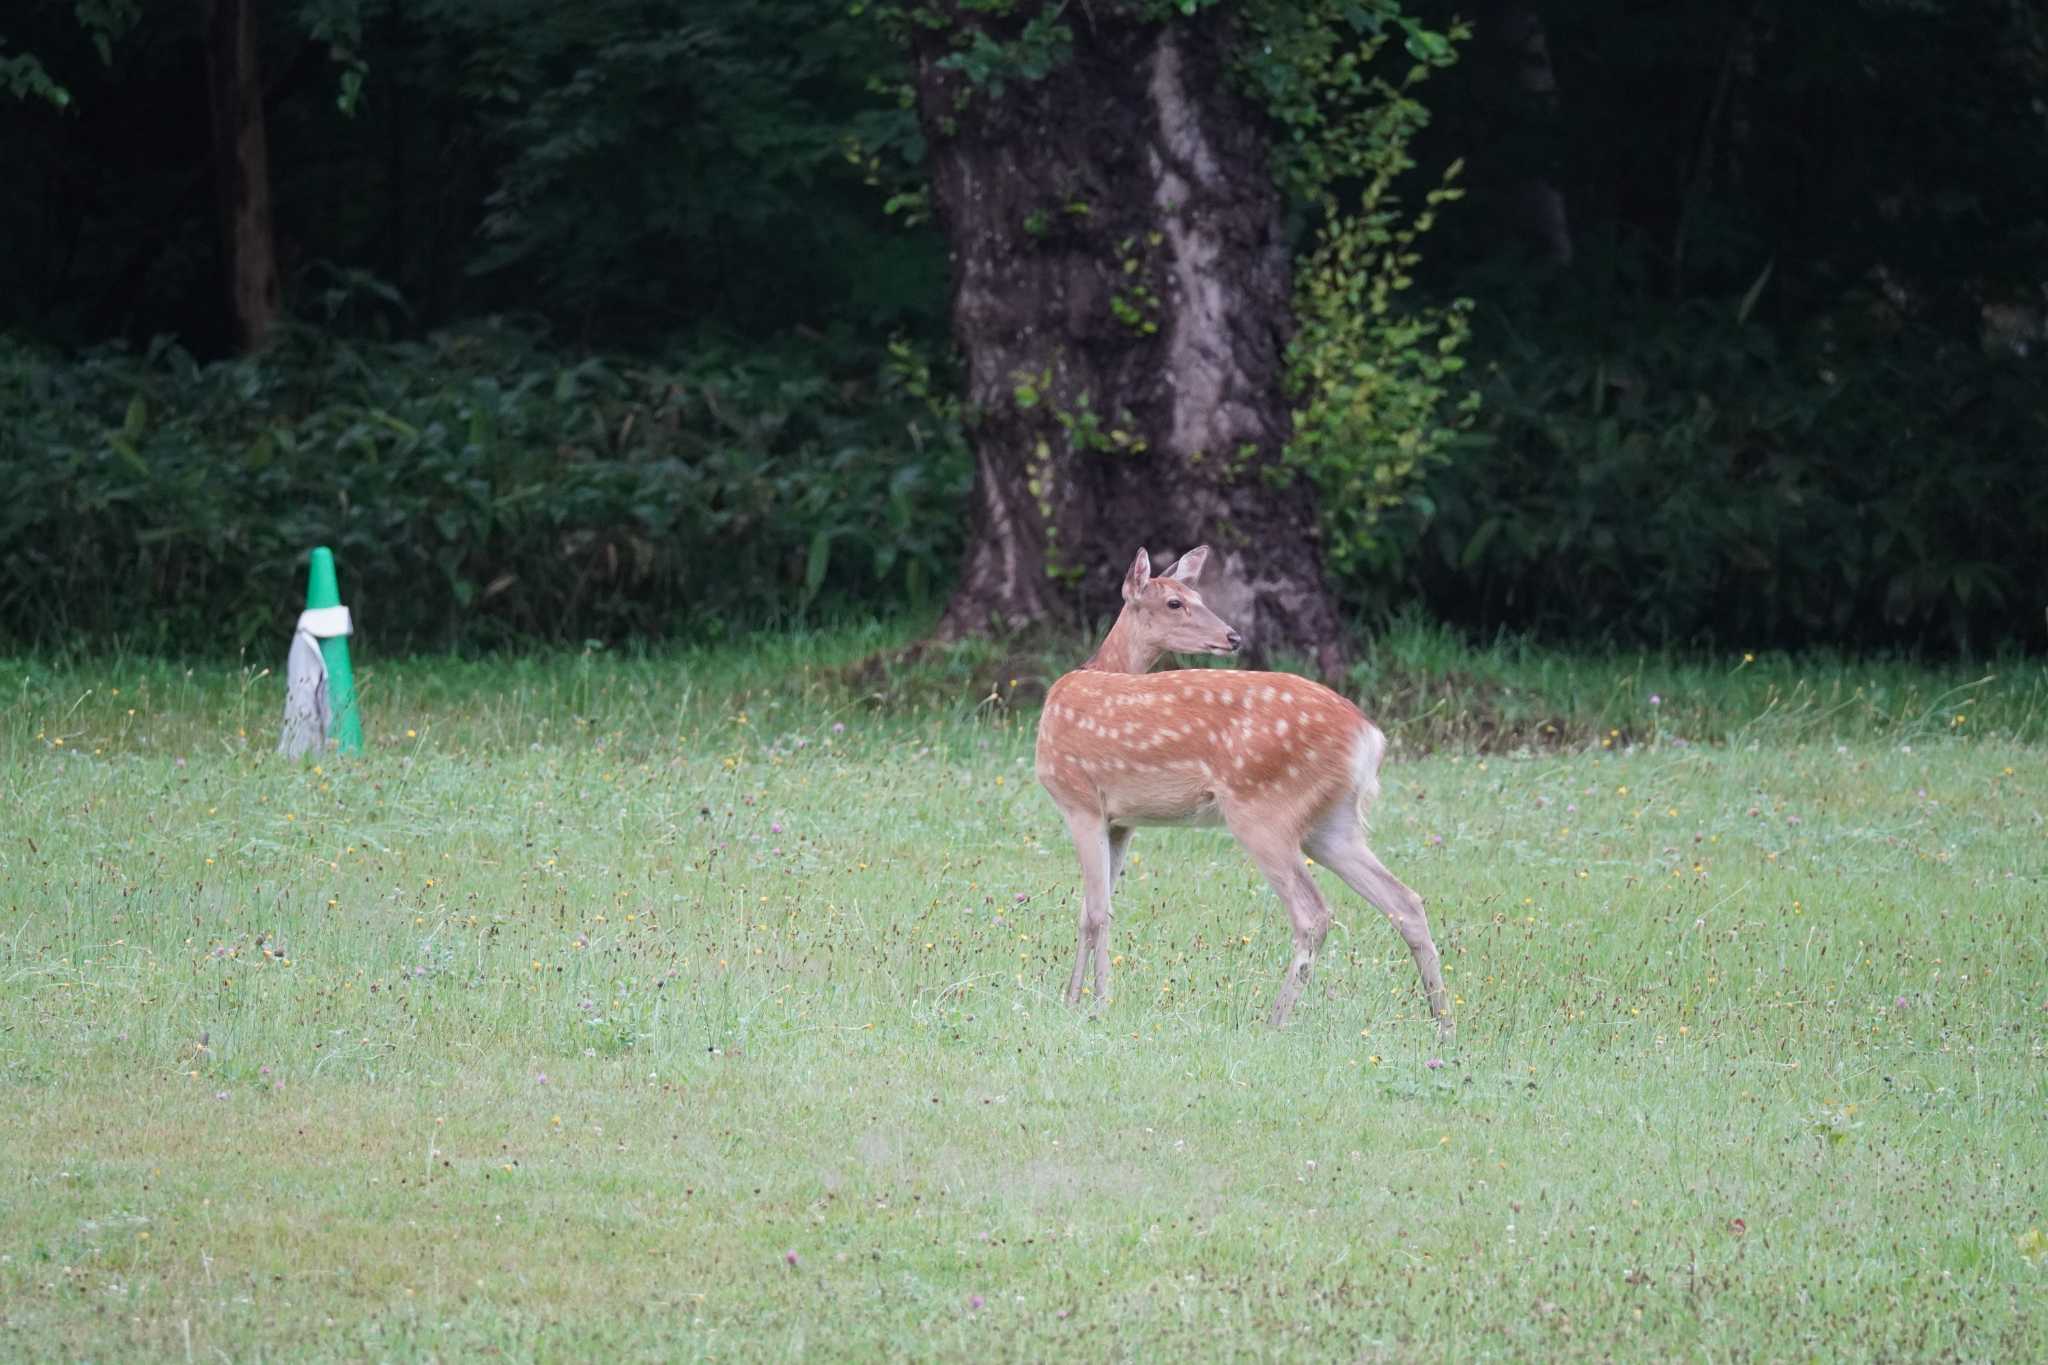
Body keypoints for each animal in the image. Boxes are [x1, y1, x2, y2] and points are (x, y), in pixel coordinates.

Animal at [1032, 548, 1449, 1039]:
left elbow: (1097, 910)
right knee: (1406, 902)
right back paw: (1444, 1024)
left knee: (1313, 912)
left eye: (1197, 596)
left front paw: (1096, 1005)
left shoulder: (1080, 800)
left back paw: (1274, 1020)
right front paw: (1073, 1000)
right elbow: (1092, 909)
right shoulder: (1122, 821)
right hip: (1333, 824)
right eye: (1176, 601)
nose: (1232, 636)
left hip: (1262, 809)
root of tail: (1370, 738)